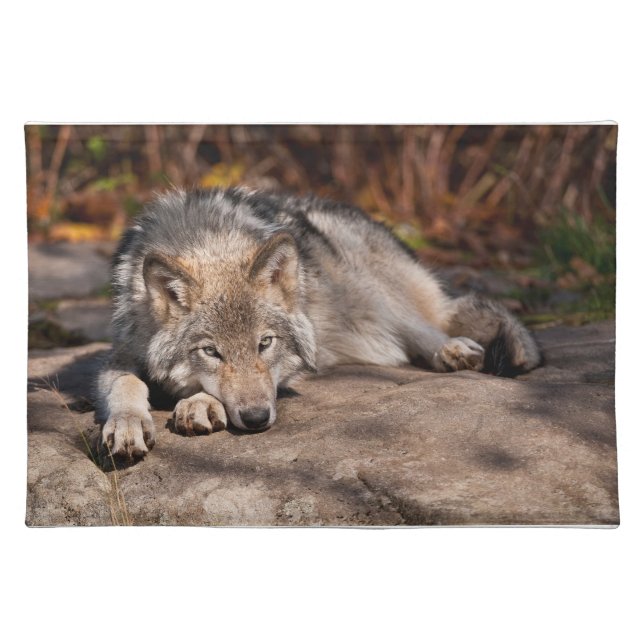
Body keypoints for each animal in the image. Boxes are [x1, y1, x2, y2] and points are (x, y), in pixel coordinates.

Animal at [96, 187, 541, 461]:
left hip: (369, 292)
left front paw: (199, 403)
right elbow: (126, 383)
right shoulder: (120, 353)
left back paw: (452, 350)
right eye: (211, 351)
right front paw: (128, 424)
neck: (208, 241)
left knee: (428, 325)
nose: (256, 419)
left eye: (265, 344)